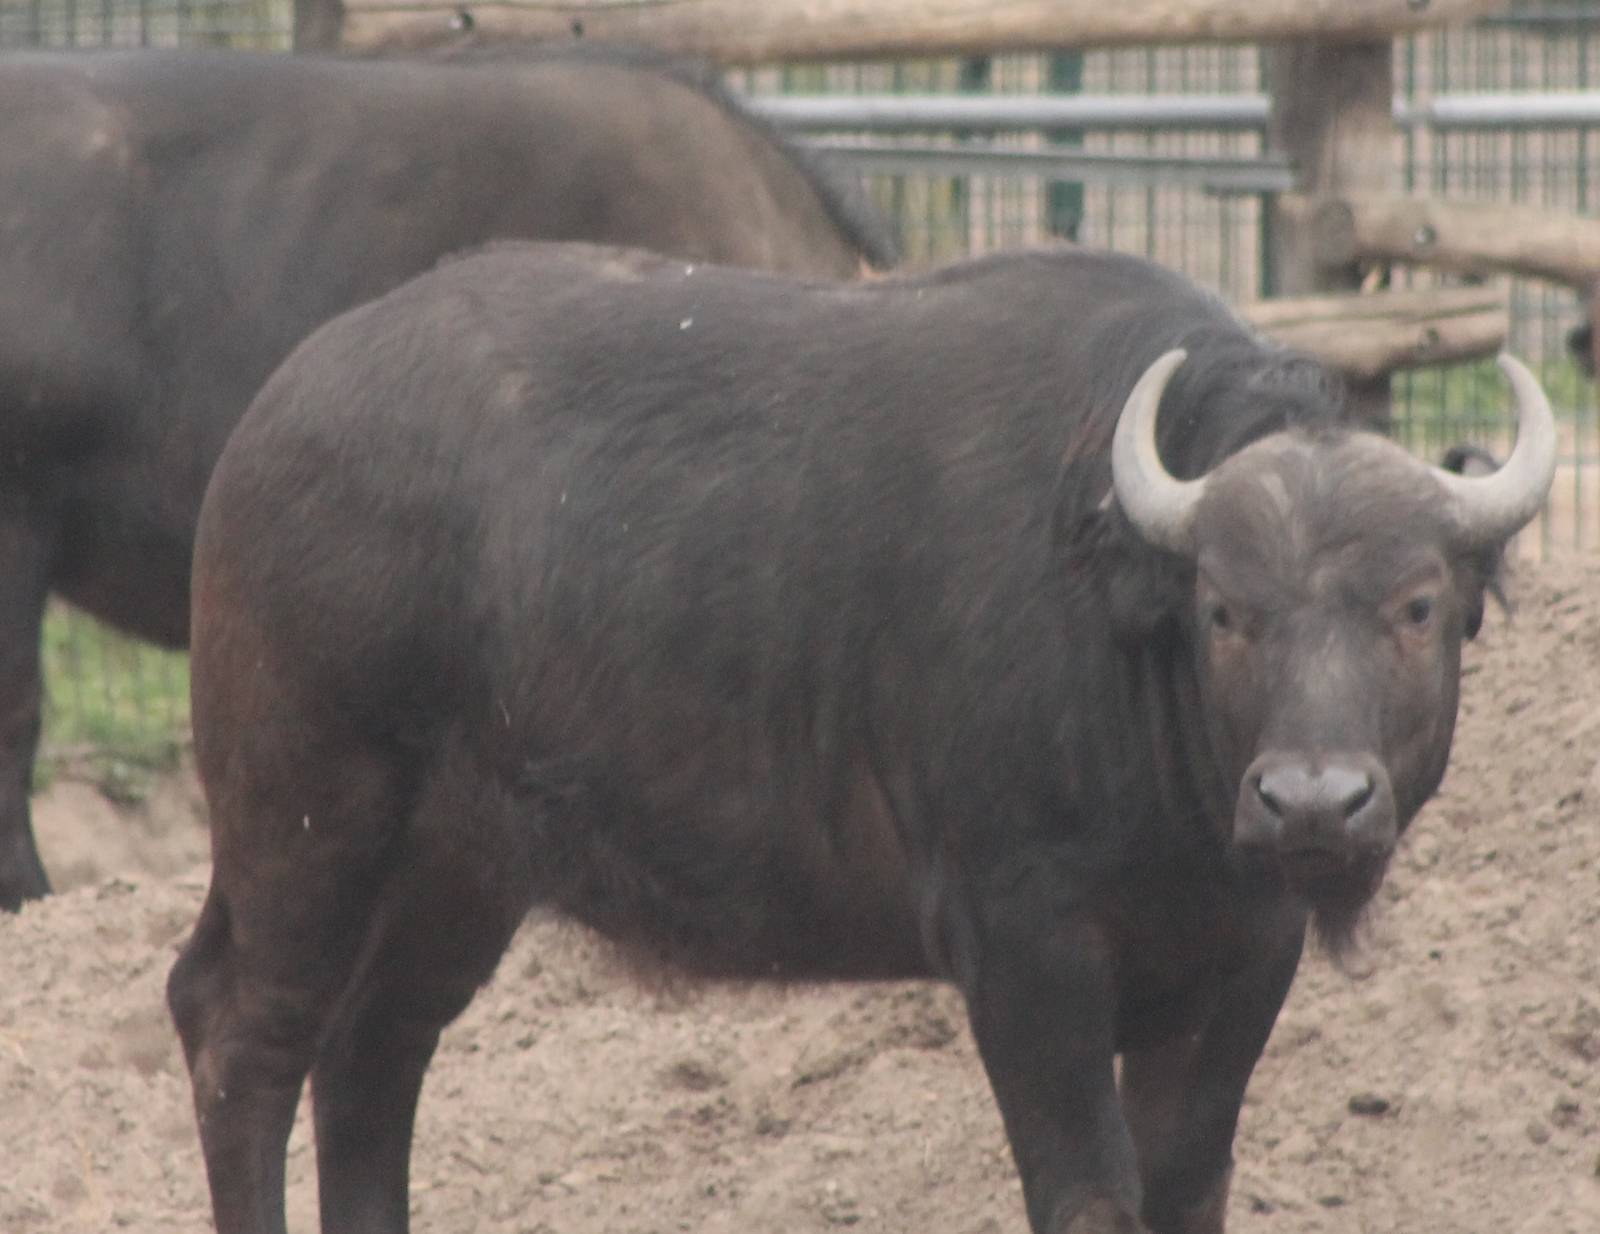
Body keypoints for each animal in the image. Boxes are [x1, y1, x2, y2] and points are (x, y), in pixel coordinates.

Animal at [169, 242, 1555, 1234]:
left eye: (1417, 603)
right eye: (1223, 607)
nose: (1311, 803)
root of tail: (273, 419)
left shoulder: (1239, 957)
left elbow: (1187, 1189)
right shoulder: (1024, 949)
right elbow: (1090, 1197)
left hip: (457, 870)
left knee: (373, 1057)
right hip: (305, 814)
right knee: (241, 1032)